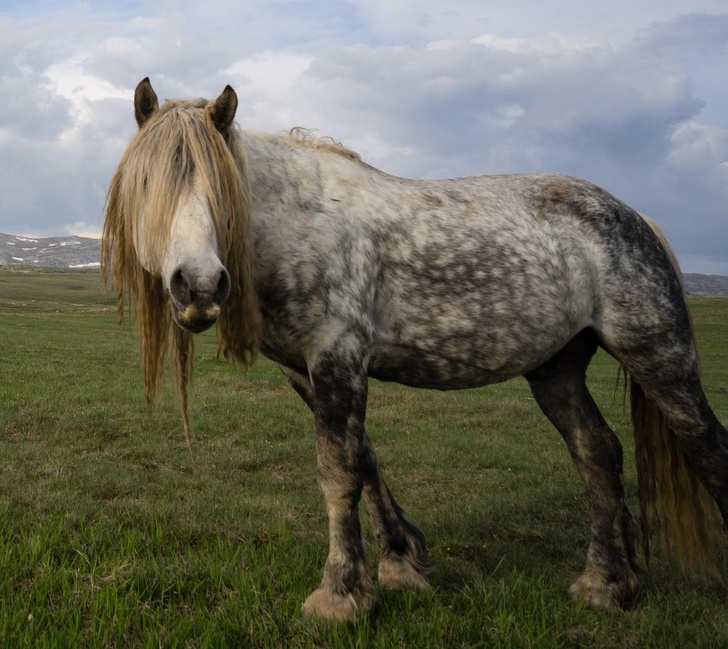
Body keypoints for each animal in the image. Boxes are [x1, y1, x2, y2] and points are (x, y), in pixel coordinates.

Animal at [102, 78, 728, 624]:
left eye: (221, 190)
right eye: (146, 185)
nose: (199, 286)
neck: (295, 227)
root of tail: (636, 217)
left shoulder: (339, 359)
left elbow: (338, 471)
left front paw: (341, 596)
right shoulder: (309, 372)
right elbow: (364, 460)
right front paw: (401, 564)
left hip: (661, 361)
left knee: (708, 449)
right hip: (557, 371)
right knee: (597, 452)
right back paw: (607, 583)